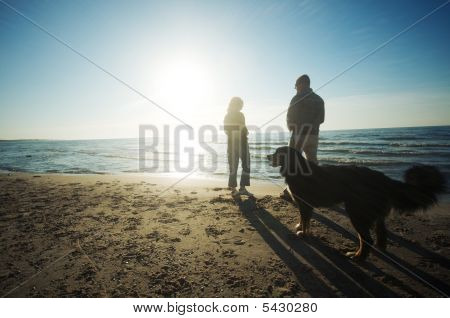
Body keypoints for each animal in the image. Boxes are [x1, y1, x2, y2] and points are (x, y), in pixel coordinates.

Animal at [268, 147, 446, 260]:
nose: (267, 157)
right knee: (380, 234)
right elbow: (305, 220)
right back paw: (377, 249)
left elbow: (305, 221)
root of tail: (383, 178)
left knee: (366, 239)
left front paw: (303, 234)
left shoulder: (305, 204)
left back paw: (358, 257)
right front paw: (301, 228)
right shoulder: (305, 205)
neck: (297, 168)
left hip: (356, 213)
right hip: (372, 214)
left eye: (277, 153)